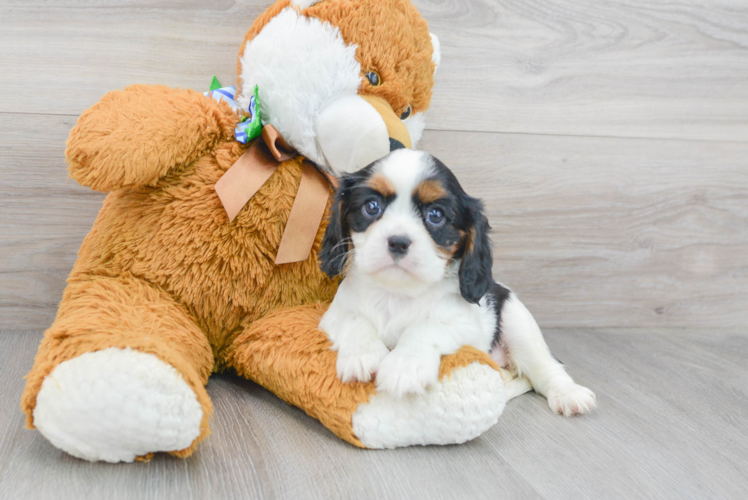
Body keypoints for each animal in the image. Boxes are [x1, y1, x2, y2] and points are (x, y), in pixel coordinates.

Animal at [318, 150, 596, 416]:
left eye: (436, 215)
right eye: (372, 206)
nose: (398, 242)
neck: (398, 293)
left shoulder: (467, 330)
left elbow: (425, 327)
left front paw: (405, 365)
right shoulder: (332, 316)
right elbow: (356, 320)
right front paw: (362, 354)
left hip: (518, 323)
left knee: (547, 367)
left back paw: (568, 394)